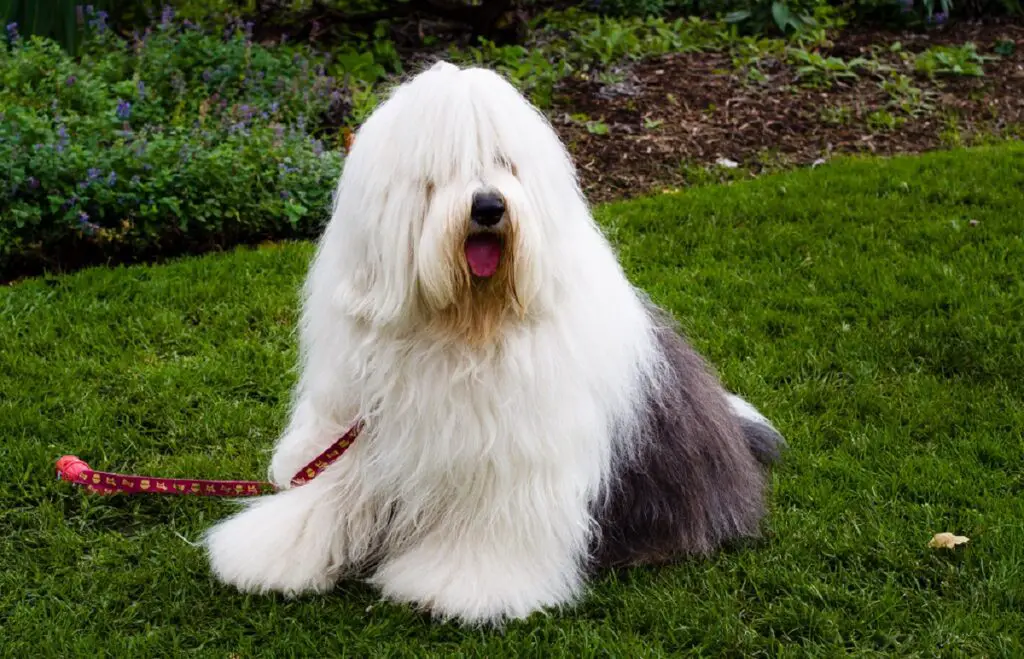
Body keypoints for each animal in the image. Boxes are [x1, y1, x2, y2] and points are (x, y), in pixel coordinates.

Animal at [203, 59, 786, 626]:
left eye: (505, 162)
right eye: (438, 174)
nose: (487, 206)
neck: (462, 325)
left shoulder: (511, 464)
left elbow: (490, 527)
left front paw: (459, 588)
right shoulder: (353, 427)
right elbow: (326, 495)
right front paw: (269, 553)